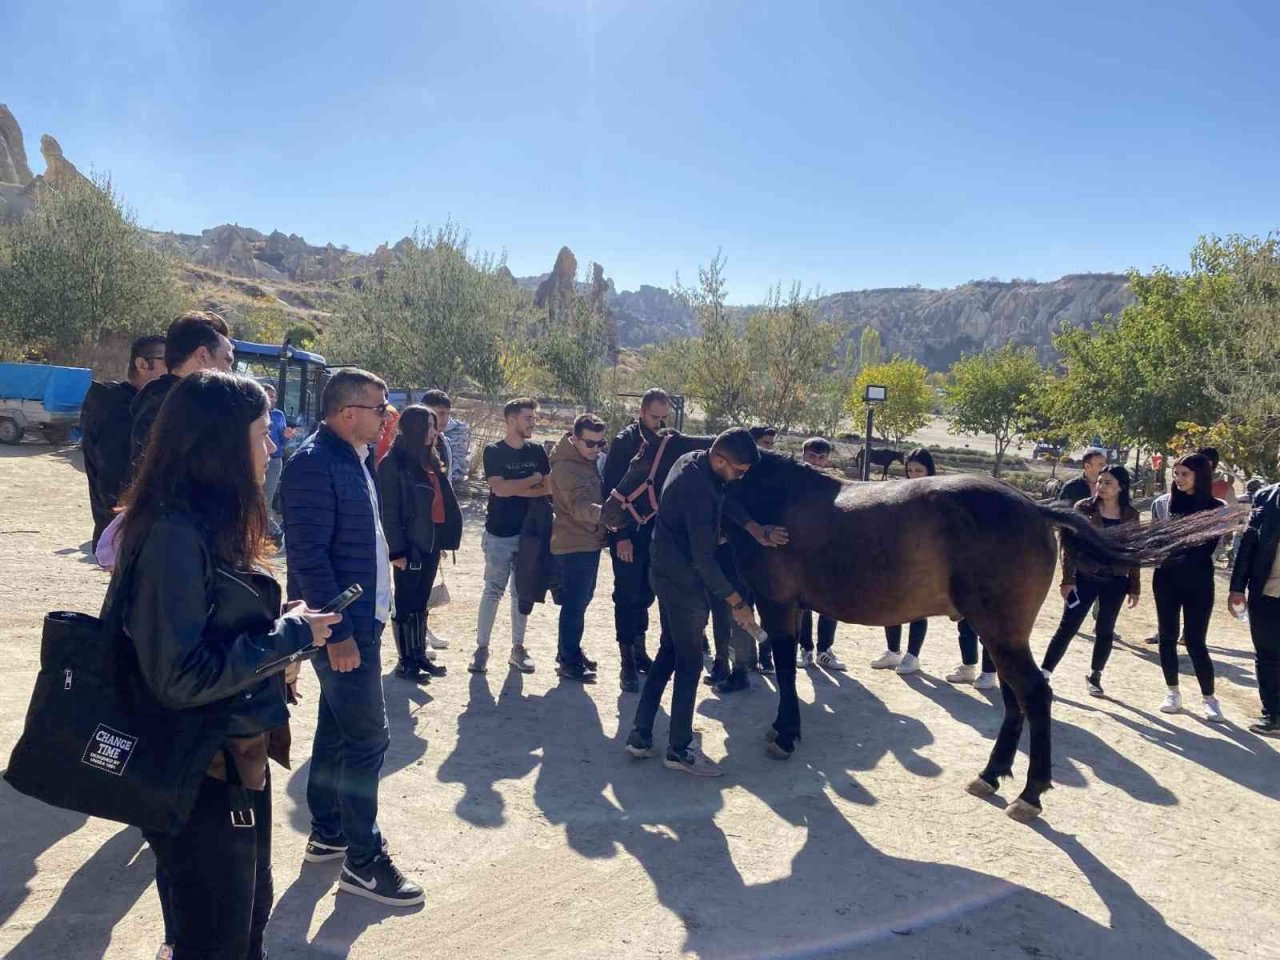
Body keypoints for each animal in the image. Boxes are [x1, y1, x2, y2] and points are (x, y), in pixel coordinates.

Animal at [601, 440, 1239, 824]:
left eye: (637, 453)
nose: (608, 513)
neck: (771, 502)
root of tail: (1036, 508)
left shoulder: (780, 607)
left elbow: (782, 663)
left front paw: (785, 733)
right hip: (998, 633)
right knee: (1015, 699)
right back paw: (992, 775)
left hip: (1000, 631)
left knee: (1034, 695)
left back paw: (1029, 792)